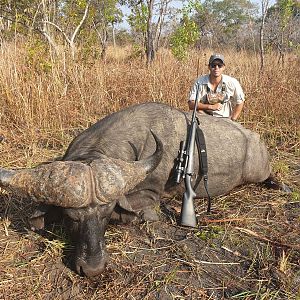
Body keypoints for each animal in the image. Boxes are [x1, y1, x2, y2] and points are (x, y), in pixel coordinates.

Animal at [0, 102, 276, 276]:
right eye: (71, 218)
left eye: (106, 215)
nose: (93, 269)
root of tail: (256, 140)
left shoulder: (150, 196)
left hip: (258, 172)